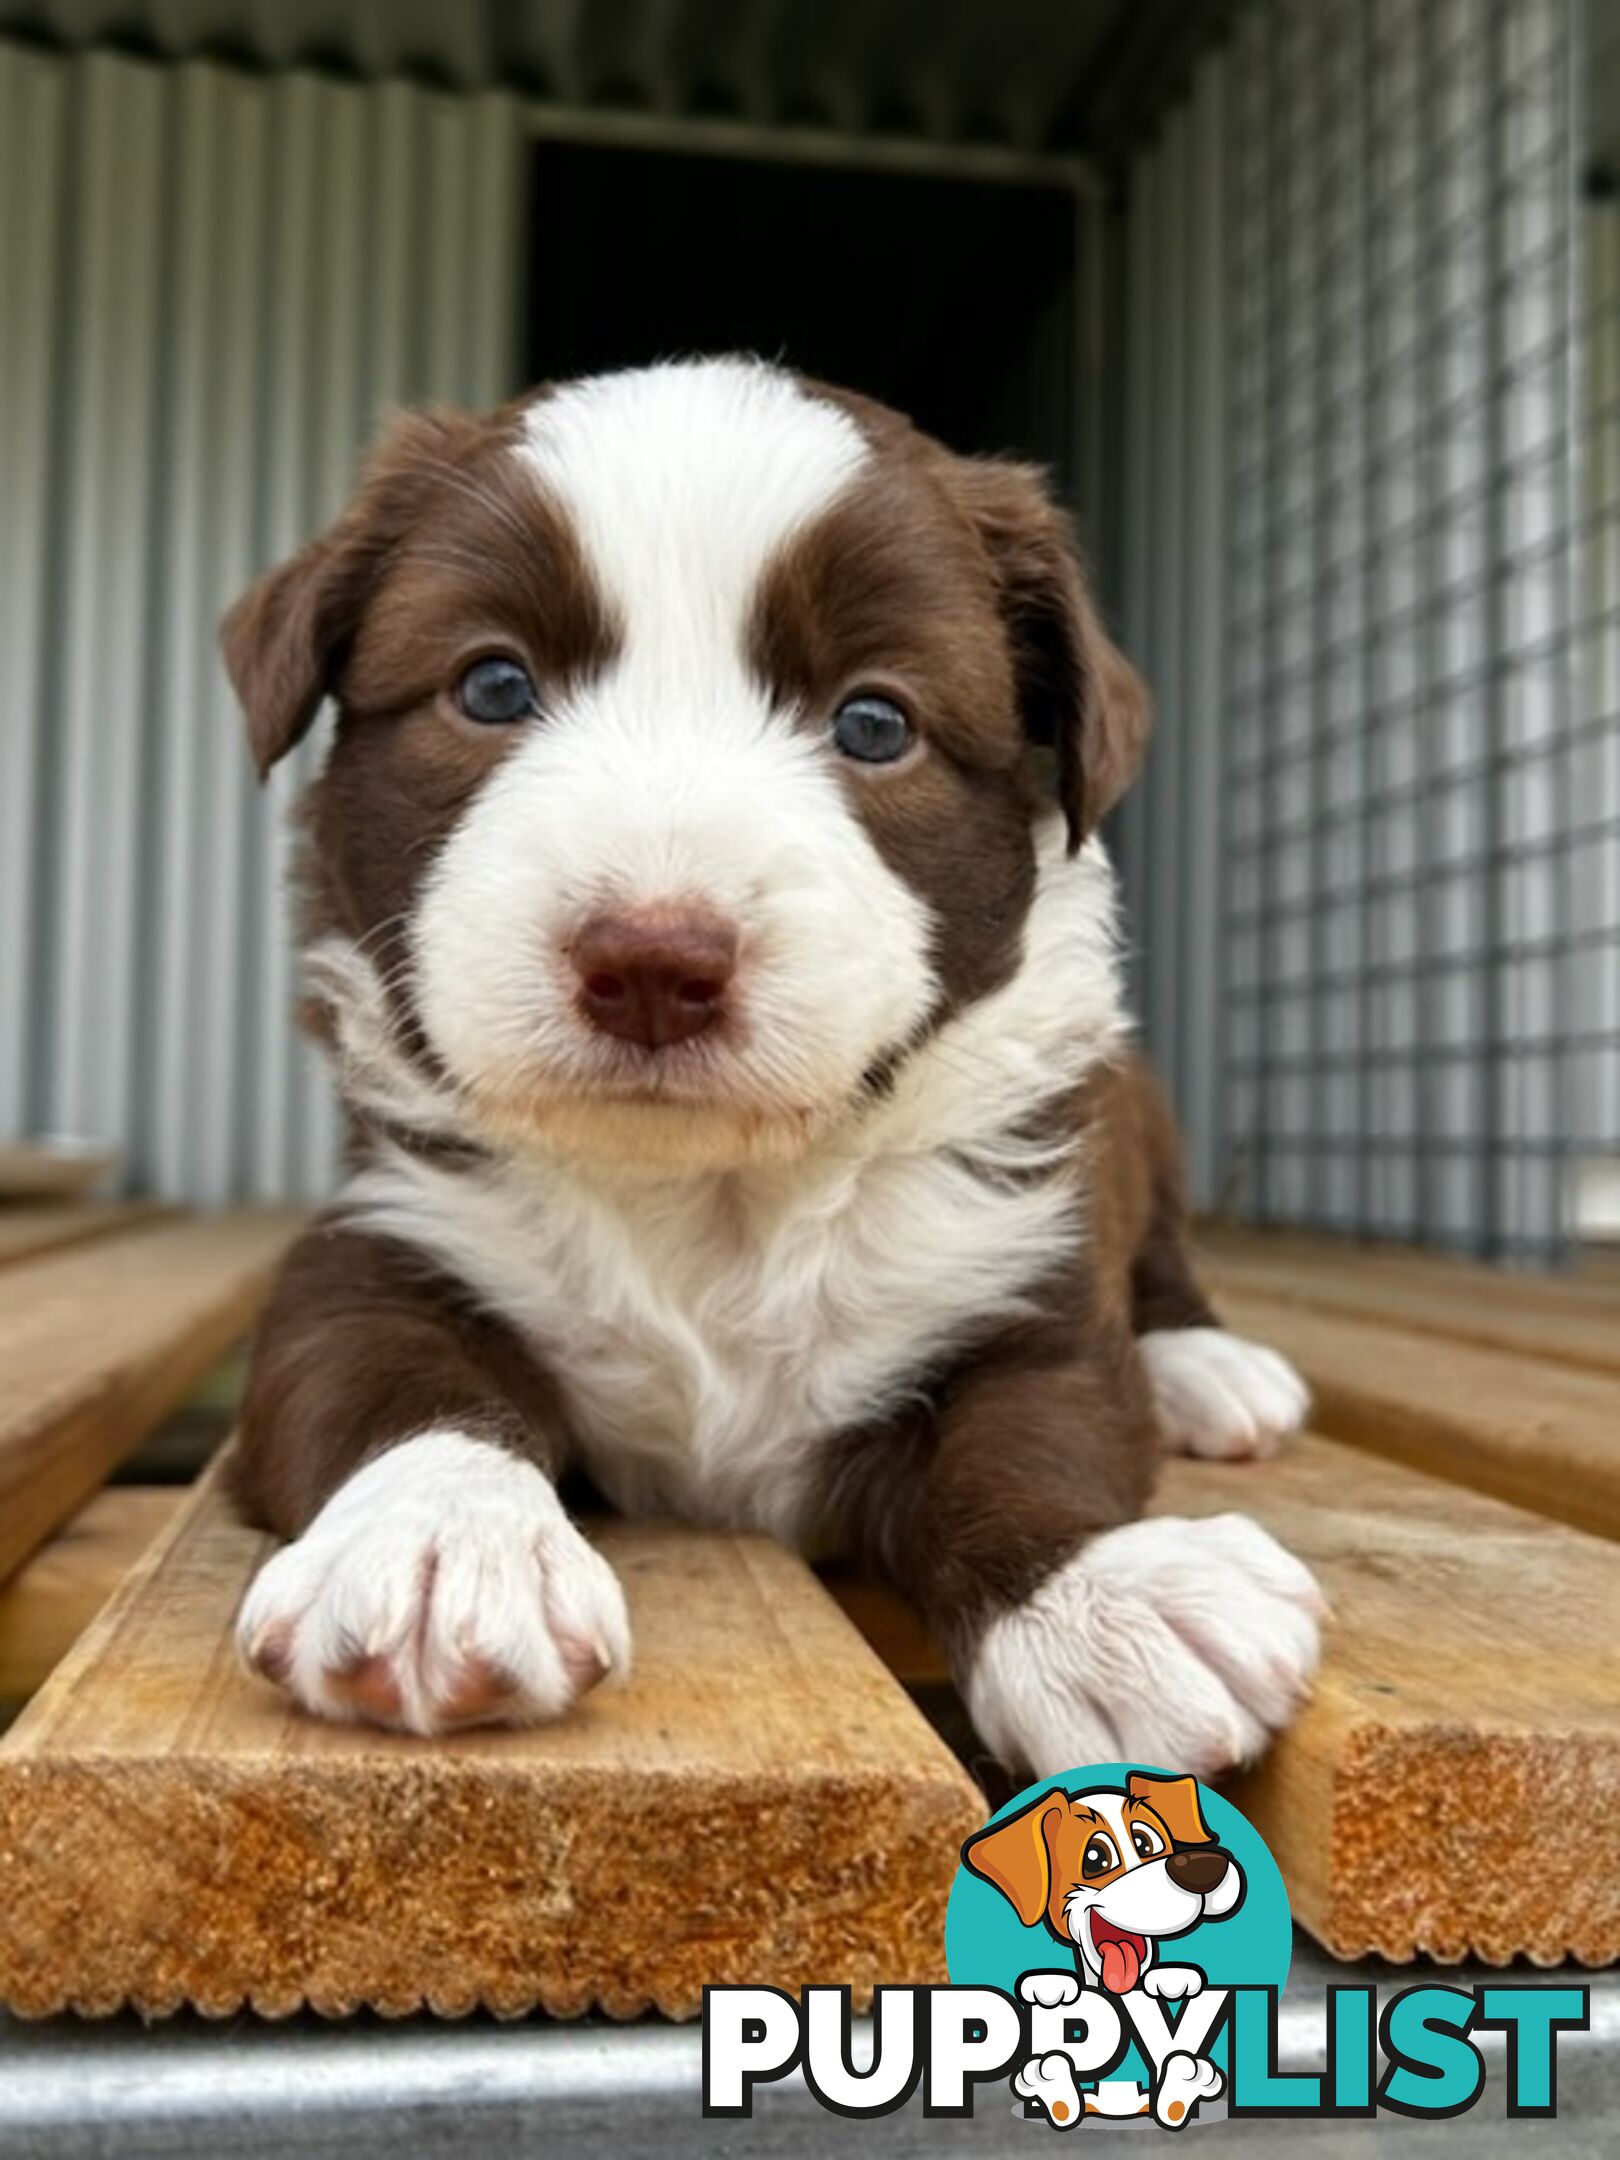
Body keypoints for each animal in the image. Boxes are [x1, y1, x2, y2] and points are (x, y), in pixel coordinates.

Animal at [219, 354, 1321, 1771]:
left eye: (875, 723)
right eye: (493, 688)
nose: (651, 961)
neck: (710, 1196)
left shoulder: (1022, 1273)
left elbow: (1035, 1437)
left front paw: (1107, 1599)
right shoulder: (385, 1231)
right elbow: (381, 1375)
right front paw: (439, 1542)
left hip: (1149, 1117)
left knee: (1168, 1265)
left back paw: (1206, 1371)